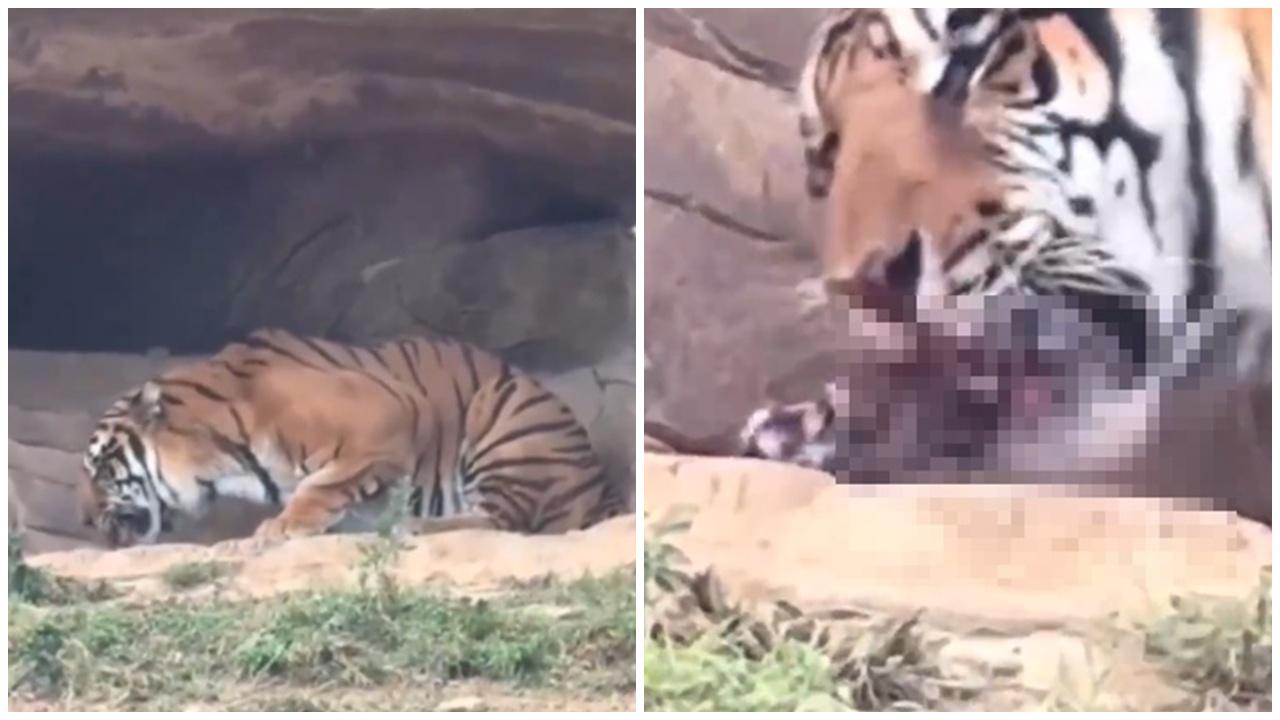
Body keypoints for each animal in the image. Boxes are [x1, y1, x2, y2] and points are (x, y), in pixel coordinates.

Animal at [80, 328, 621, 548]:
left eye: (101, 468)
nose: (84, 520)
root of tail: (598, 483)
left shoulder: (388, 415)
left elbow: (322, 485)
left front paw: (282, 527)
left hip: (503, 414)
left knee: (506, 520)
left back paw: (415, 527)